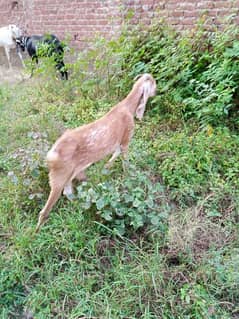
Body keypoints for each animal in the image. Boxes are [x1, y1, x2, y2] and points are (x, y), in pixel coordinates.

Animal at [36, 73, 157, 231]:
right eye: (154, 84)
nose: (156, 92)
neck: (127, 108)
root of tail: (51, 155)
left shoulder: (116, 143)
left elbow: (115, 155)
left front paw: (107, 167)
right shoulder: (126, 138)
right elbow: (125, 160)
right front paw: (128, 177)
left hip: (69, 173)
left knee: (68, 192)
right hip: (59, 176)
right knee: (44, 210)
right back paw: (36, 231)